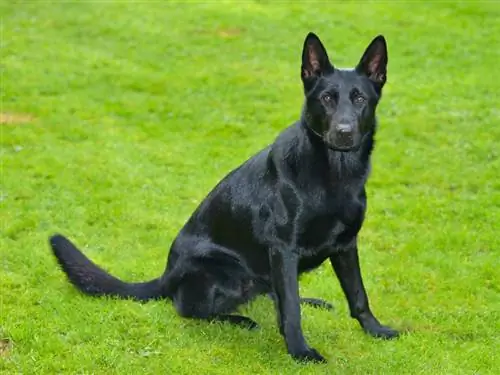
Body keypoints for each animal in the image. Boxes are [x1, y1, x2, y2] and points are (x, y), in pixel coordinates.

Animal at [49, 33, 398, 364]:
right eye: (326, 99)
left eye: (359, 99)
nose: (344, 132)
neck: (334, 174)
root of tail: (166, 276)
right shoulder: (284, 249)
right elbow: (291, 312)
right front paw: (300, 351)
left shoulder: (345, 245)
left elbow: (357, 294)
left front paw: (375, 329)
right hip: (228, 273)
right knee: (189, 308)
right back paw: (240, 320)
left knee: (271, 294)